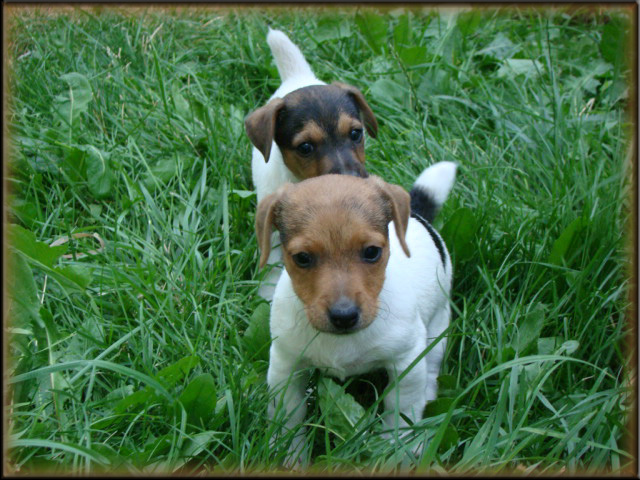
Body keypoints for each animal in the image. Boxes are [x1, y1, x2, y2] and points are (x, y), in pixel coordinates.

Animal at [255, 161, 456, 464]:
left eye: (372, 252)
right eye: (302, 258)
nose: (344, 316)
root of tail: (418, 216)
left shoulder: (406, 363)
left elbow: (400, 414)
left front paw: (395, 452)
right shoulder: (285, 365)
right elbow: (289, 416)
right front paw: (290, 455)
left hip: (437, 330)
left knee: (431, 369)